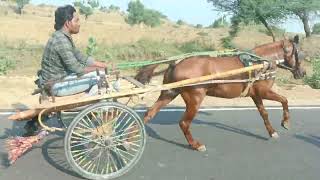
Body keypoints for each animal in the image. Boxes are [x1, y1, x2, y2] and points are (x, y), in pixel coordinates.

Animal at [134, 34, 304, 150]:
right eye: (301, 54)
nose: (303, 73)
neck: (262, 62)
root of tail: (176, 62)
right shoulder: (263, 91)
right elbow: (284, 99)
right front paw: (285, 122)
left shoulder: (255, 94)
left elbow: (264, 114)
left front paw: (272, 131)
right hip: (194, 99)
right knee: (184, 123)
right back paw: (196, 145)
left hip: (169, 93)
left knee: (149, 114)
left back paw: (132, 137)